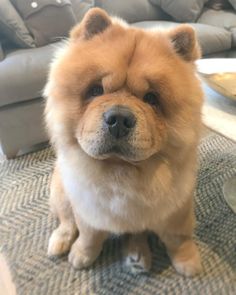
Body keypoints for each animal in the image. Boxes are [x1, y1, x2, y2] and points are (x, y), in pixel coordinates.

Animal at [44, 7, 203, 278]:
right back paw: (60, 242)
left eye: (152, 98)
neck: (122, 173)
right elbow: (88, 234)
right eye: (96, 91)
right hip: (61, 192)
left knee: (136, 232)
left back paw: (138, 255)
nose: (118, 118)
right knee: (66, 221)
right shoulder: (88, 208)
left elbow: (179, 238)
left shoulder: (177, 207)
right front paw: (81, 255)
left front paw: (188, 263)